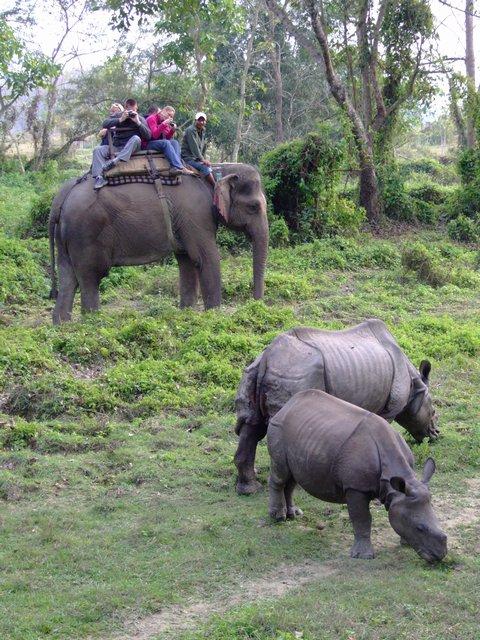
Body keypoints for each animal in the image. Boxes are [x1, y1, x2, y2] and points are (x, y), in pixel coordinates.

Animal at [48, 163, 268, 323]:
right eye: (254, 206)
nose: (256, 306)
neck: (216, 171)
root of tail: (62, 197)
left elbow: (186, 261)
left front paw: (187, 314)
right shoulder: (197, 215)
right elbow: (205, 258)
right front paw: (214, 317)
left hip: (66, 237)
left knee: (68, 276)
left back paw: (63, 325)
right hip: (86, 234)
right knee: (90, 276)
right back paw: (93, 322)